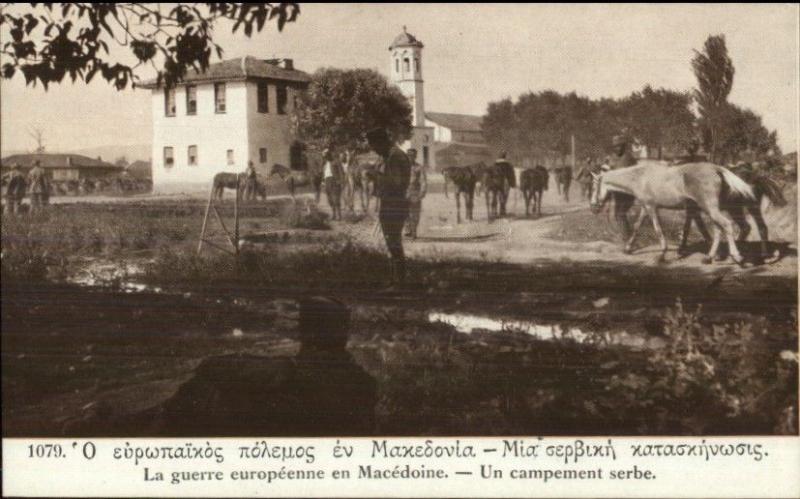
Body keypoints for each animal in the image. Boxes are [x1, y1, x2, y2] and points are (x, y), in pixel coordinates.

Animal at [592, 163, 760, 266]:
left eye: (593, 186)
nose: (593, 207)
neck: (640, 177)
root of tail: (715, 168)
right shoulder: (645, 208)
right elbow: (637, 226)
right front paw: (627, 248)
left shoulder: (651, 207)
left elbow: (658, 229)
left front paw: (661, 255)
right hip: (711, 209)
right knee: (720, 229)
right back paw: (709, 257)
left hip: (711, 208)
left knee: (727, 225)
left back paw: (736, 256)